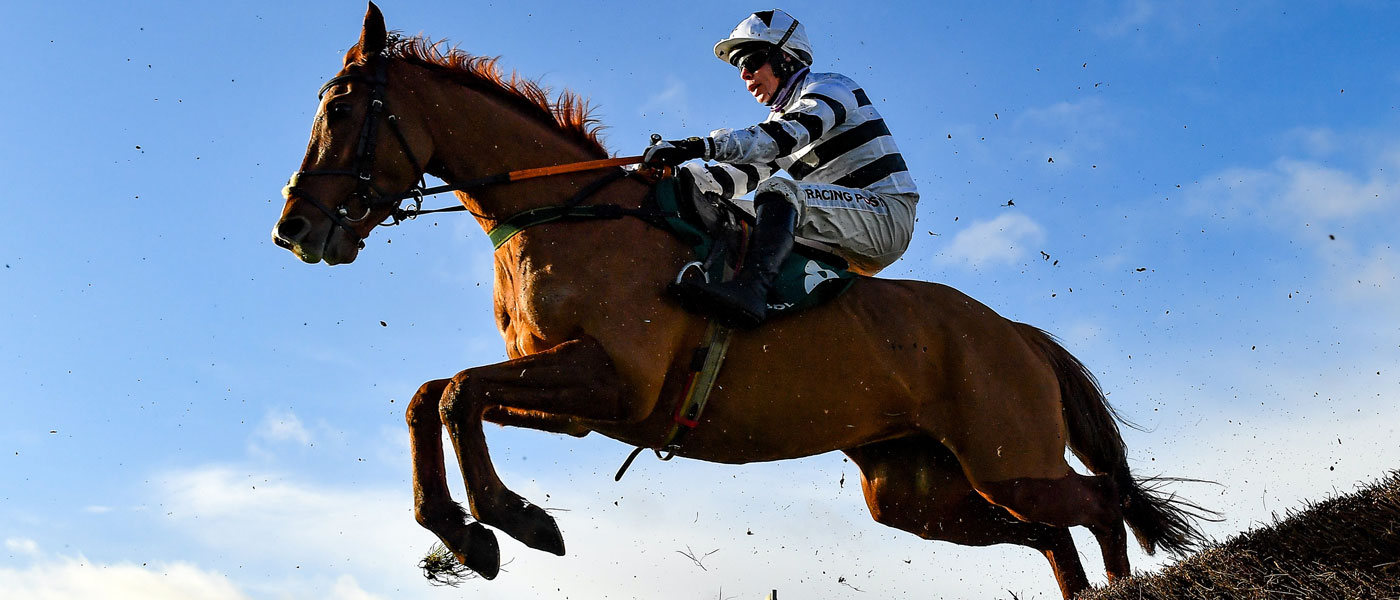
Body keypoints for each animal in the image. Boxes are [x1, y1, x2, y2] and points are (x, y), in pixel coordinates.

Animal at [272, 4, 1208, 598]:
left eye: (343, 108)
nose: (295, 227)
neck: (568, 215)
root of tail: (1014, 333)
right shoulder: (571, 395)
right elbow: (433, 395)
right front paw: (465, 527)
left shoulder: (612, 382)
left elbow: (457, 392)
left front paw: (510, 520)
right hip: (921, 492)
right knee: (1051, 533)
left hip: (1009, 457)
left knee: (1099, 506)